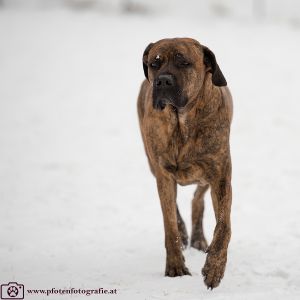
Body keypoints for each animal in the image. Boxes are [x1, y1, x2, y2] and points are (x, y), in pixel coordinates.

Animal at [137, 37, 233, 288]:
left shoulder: (220, 175)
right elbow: (169, 224)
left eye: (184, 62)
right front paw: (175, 267)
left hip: (206, 175)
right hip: (153, 164)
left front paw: (214, 268)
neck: (182, 122)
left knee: (198, 199)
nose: (163, 80)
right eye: (154, 64)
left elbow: (224, 226)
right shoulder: (163, 173)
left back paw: (199, 239)